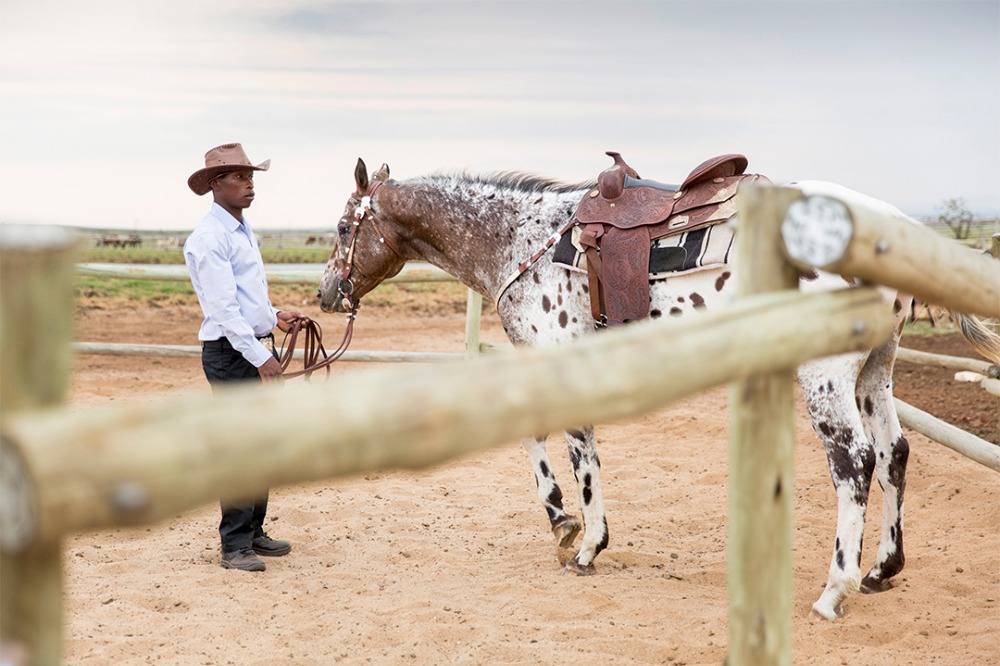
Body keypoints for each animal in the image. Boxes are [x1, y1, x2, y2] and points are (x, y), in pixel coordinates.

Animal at [320, 156, 1000, 616]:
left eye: (344, 228)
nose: (328, 294)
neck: (518, 237)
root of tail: (890, 226)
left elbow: (580, 454)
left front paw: (585, 543)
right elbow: (536, 438)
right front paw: (562, 523)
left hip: (826, 378)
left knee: (854, 464)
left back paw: (837, 589)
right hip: (874, 372)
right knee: (894, 455)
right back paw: (884, 566)